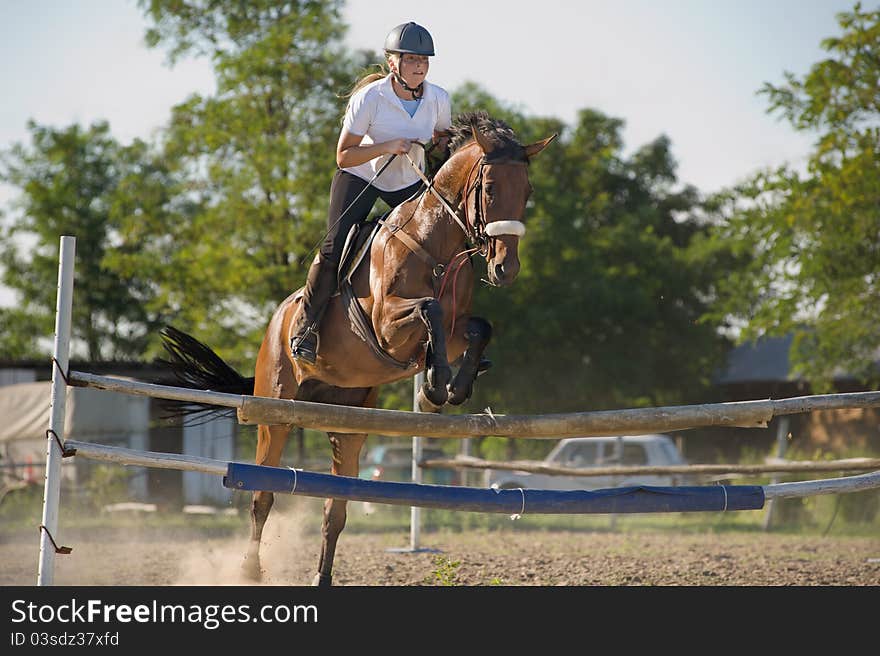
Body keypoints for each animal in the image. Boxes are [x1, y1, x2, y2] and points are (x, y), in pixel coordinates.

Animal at [160, 111, 552, 584]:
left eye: (527, 192)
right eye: (490, 188)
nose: (505, 269)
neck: (435, 246)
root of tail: (273, 325)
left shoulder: (457, 328)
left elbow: (478, 328)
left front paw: (448, 389)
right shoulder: (386, 326)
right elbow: (430, 309)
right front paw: (434, 385)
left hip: (348, 423)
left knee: (335, 507)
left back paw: (322, 576)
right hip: (275, 411)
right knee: (261, 495)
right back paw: (250, 570)